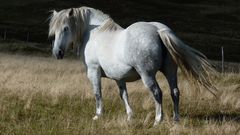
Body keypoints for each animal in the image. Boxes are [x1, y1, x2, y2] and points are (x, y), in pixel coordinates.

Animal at [47, 6, 215, 125]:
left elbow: (97, 94)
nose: (57, 53)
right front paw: (129, 116)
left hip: (147, 75)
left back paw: (157, 120)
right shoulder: (118, 78)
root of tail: (158, 30)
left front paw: (98, 115)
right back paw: (175, 120)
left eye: (65, 28)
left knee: (157, 93)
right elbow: (124, 96)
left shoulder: (93, 72)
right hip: (170, 72)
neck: (95, 33)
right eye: (54, 31)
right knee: (175, 92)